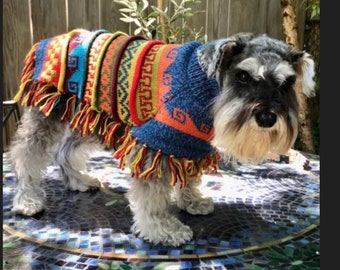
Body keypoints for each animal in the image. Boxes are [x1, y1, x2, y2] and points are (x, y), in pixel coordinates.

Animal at [8, 29, 316, 247]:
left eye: (288, 82)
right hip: (47, 112)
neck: (207, 85)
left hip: (90, 116)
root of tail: (48, 41)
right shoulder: (155, 141)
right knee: (26, 154)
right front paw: (161, 228)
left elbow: (190, 176)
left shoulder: (189, 140)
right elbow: (152, 193)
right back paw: (27, 199)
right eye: (242, 76)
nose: (267, 118)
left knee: (65, 151)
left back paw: (78, 181)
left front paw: (192, 201)